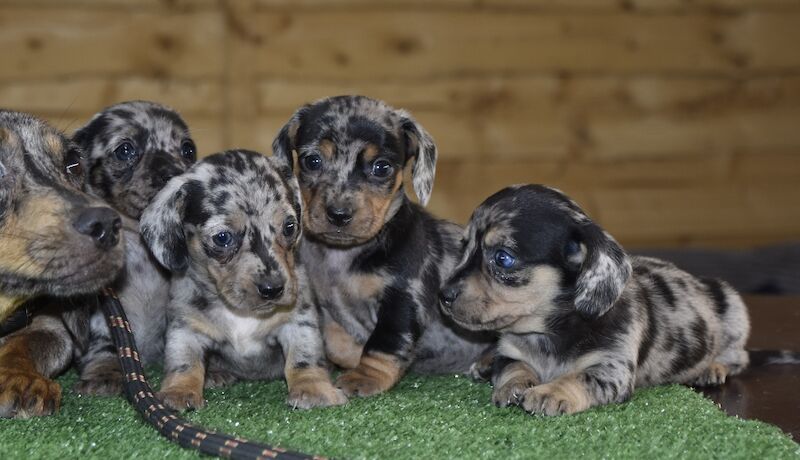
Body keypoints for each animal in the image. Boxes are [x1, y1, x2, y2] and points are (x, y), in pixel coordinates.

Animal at [141, 150, 346, 410]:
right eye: (222, 237)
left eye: (289, 227)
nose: (273, 289)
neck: (241, 313)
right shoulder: (185, 327)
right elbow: (184, 362)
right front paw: (179, 391)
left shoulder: (298, 320)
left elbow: (304, 357)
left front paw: (313, 387)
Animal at [272, 95, 490, 398]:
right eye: (312, 160)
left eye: (381, 167)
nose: (338, 214)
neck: (342, 258)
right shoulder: (327, 309)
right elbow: (336, 343)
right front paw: (351, 356)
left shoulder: (402, 299)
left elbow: (383, 345)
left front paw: (364, 376)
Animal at [438, 184, 800, 416]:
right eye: (465, 247)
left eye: (502, 258)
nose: (443, 296)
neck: (551, 332)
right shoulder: (511, 352)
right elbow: (513, 365)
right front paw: (513, 384)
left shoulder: (611, 369)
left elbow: (579, 376)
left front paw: (550, 391)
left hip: (732, 305)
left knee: (739, 358)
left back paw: (712, 368)